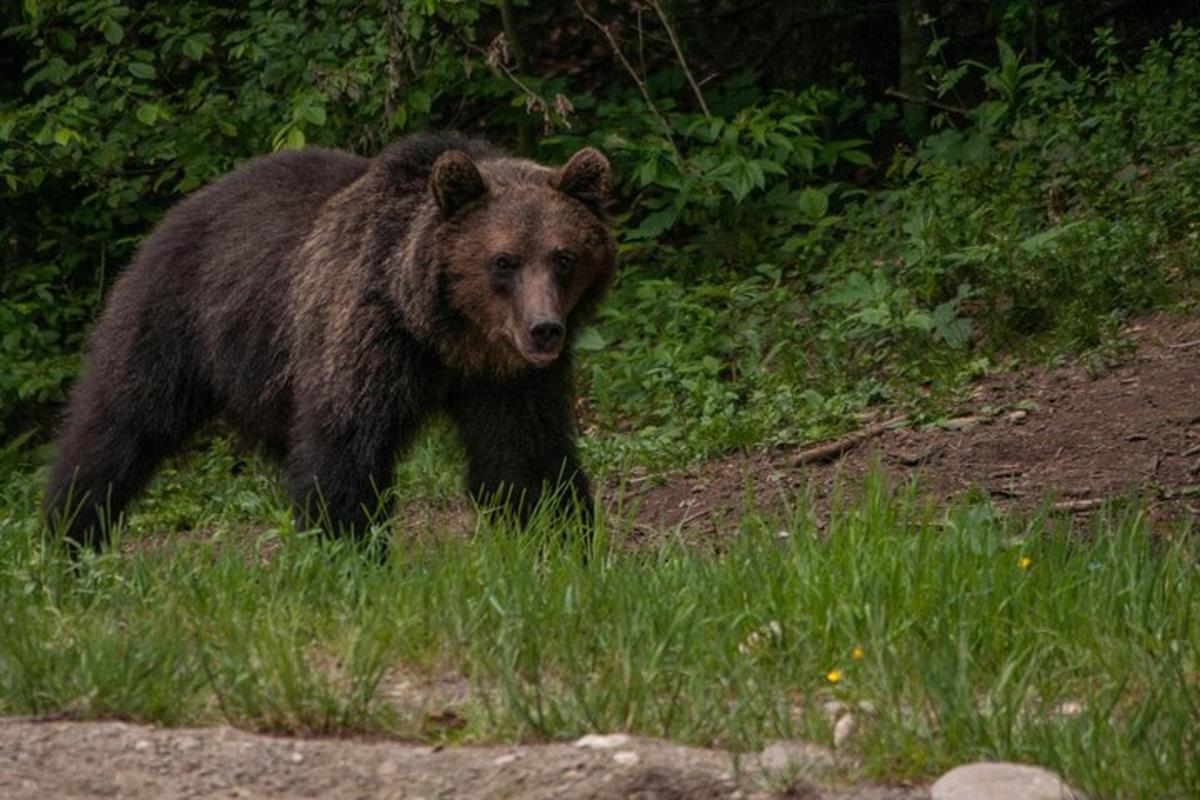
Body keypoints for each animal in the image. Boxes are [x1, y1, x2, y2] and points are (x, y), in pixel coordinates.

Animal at [42, 133, 614, 551]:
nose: (544, 328)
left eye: (563, 256)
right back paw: (69, 534)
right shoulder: (365, 331)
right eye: (503, 261)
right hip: (175, 317)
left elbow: (525, 454)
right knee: (121, 421)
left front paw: (562, 541)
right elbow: (344, 442)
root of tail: (181, 207)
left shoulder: (508, 379)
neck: (445, 334)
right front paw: (349, 550)